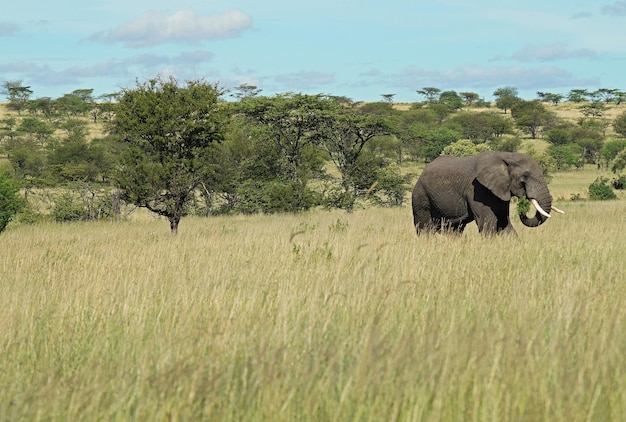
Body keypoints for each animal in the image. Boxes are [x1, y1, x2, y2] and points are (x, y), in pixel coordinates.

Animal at [412, 151, 564, 236]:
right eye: (525, 176)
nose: (523, 208)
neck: (507, 156)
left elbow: (504, 223)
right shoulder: (476, 190)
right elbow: (487, 223)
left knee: (454, 229)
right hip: (420, 196)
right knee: (424, 227)